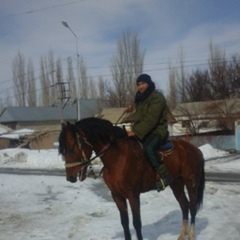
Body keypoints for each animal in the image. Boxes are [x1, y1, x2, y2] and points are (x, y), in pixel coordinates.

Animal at [59, 118, 205, 240]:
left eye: (71, 148)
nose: (70, 177)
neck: (117, 158)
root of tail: (195, 150)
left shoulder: (133, 195)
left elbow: (136, 223)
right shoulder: (117, 195)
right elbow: (125, 222)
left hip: (191, 183)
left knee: (192, 207)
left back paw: (190, 235)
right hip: (177, 184)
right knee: (184, 206)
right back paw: (181, 235)